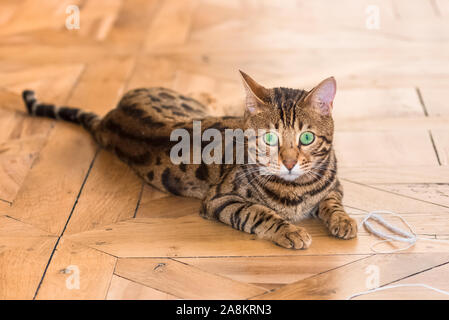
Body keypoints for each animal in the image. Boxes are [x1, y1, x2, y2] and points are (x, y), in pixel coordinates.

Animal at [21, 71, 356, 249]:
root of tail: (110, 118)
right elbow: (259, 213)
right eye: (269, 139)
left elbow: (331, 201)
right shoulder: (221, 199)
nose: (288, 162)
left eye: (307, 138)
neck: (294, 189)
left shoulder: (335, 185)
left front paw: (344, 221)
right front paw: (291, 230)